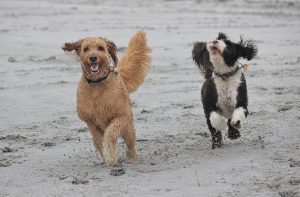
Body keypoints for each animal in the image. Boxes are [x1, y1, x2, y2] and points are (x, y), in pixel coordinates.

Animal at [63, 31, 152, 166]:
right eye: (86, 49)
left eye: (100, 48)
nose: (93, 57)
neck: (97, 83)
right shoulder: (90, 122)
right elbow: (99, 140)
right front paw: (106, 156)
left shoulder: (120, 115)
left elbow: (110, 134)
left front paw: (110, 155)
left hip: (129, 128)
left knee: (130, 145)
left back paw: (131, 159)